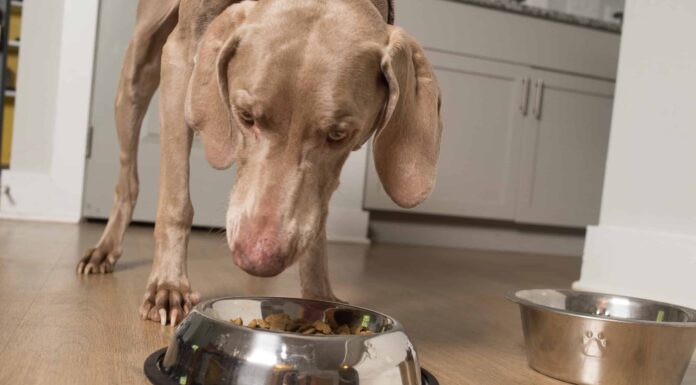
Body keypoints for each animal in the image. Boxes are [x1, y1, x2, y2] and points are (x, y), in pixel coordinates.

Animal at [76, 0, 444, 324]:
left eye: (339, 135)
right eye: (246, 116)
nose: (257, 257)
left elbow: (316, 215)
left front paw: (319, 295)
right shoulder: (180, 54)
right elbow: (175, 201)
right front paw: (169, 285)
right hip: (139, 66)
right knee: (128, 179)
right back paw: (104, 249)